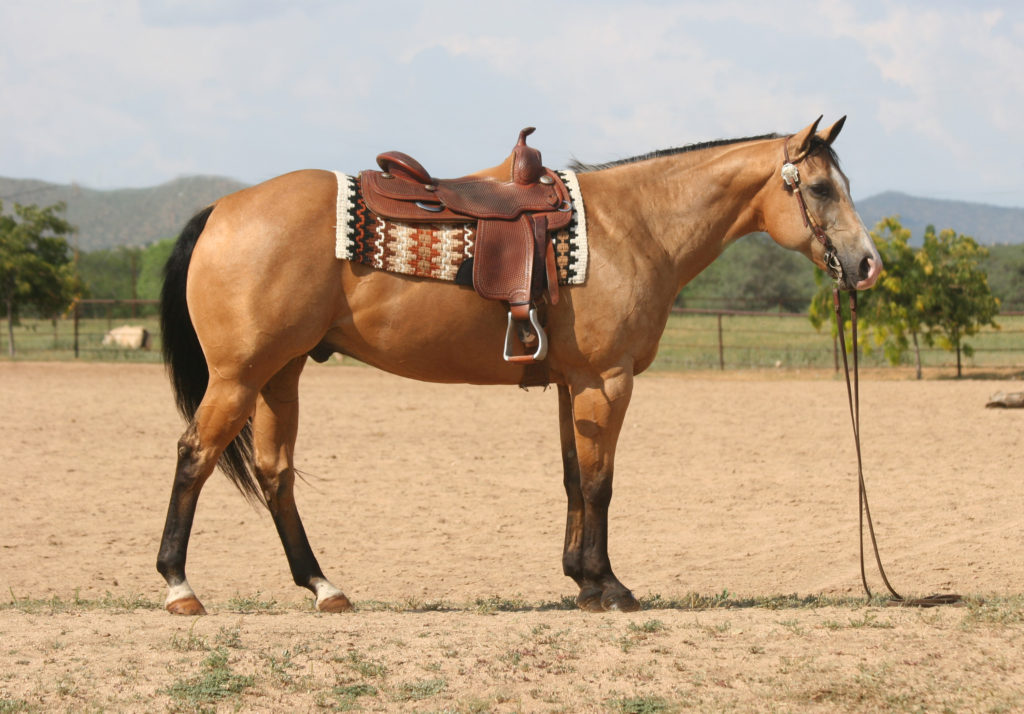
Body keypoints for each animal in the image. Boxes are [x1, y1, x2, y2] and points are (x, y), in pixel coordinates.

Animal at [157, 116, 881, 615]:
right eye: (821, 187)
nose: (867, 264)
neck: (634, 225)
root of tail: (222, 211)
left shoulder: (571, 385)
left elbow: (572, 479)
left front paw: (581, 580)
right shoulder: (605, 382)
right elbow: (600, 484)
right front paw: (609, 586)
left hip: (280, 376)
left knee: (275, 474)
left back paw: (323, 587)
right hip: (239, 376)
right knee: (195, 455)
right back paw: (179, 586)